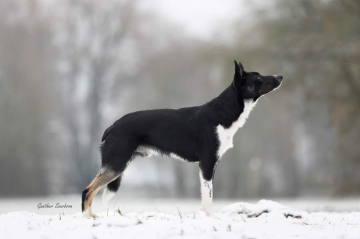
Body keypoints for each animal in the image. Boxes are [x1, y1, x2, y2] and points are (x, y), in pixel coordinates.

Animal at [81, 60, 282, 218]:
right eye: (258, 78)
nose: (280, 76)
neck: (222, 113)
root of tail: (111, 127)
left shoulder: (209, 165)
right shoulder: (206, 164)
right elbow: (208, 200)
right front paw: (210, 220)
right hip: (116, 165)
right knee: (87, 191)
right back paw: (87, 219)